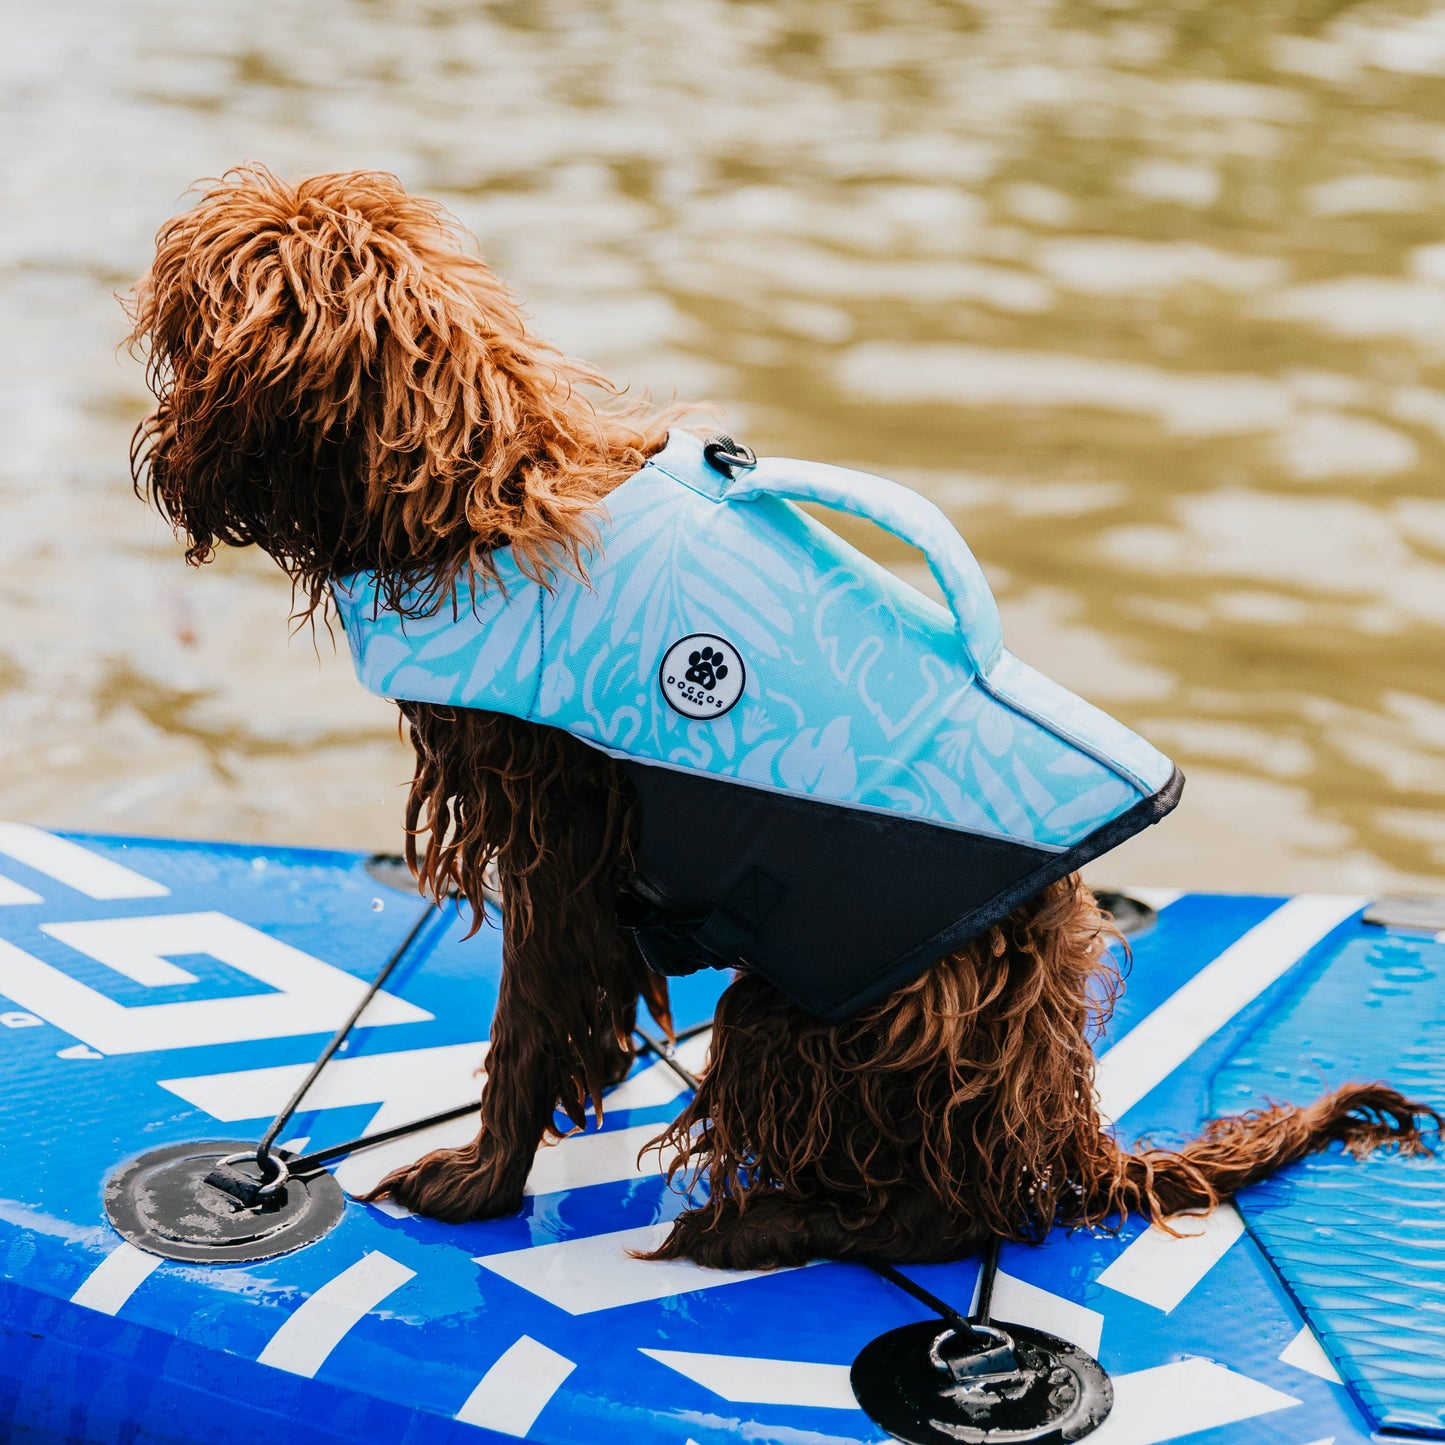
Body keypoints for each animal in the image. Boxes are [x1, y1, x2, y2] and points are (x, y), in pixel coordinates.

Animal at [124, 169, 1433, 1271]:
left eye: (183, 330)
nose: (154, 446)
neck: (480, 486)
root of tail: (1068, 1126)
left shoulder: (559, 845)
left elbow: (526, 1027)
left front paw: (478, 1182)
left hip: (800, 1014)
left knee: (963, 1213)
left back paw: (755, 1222)